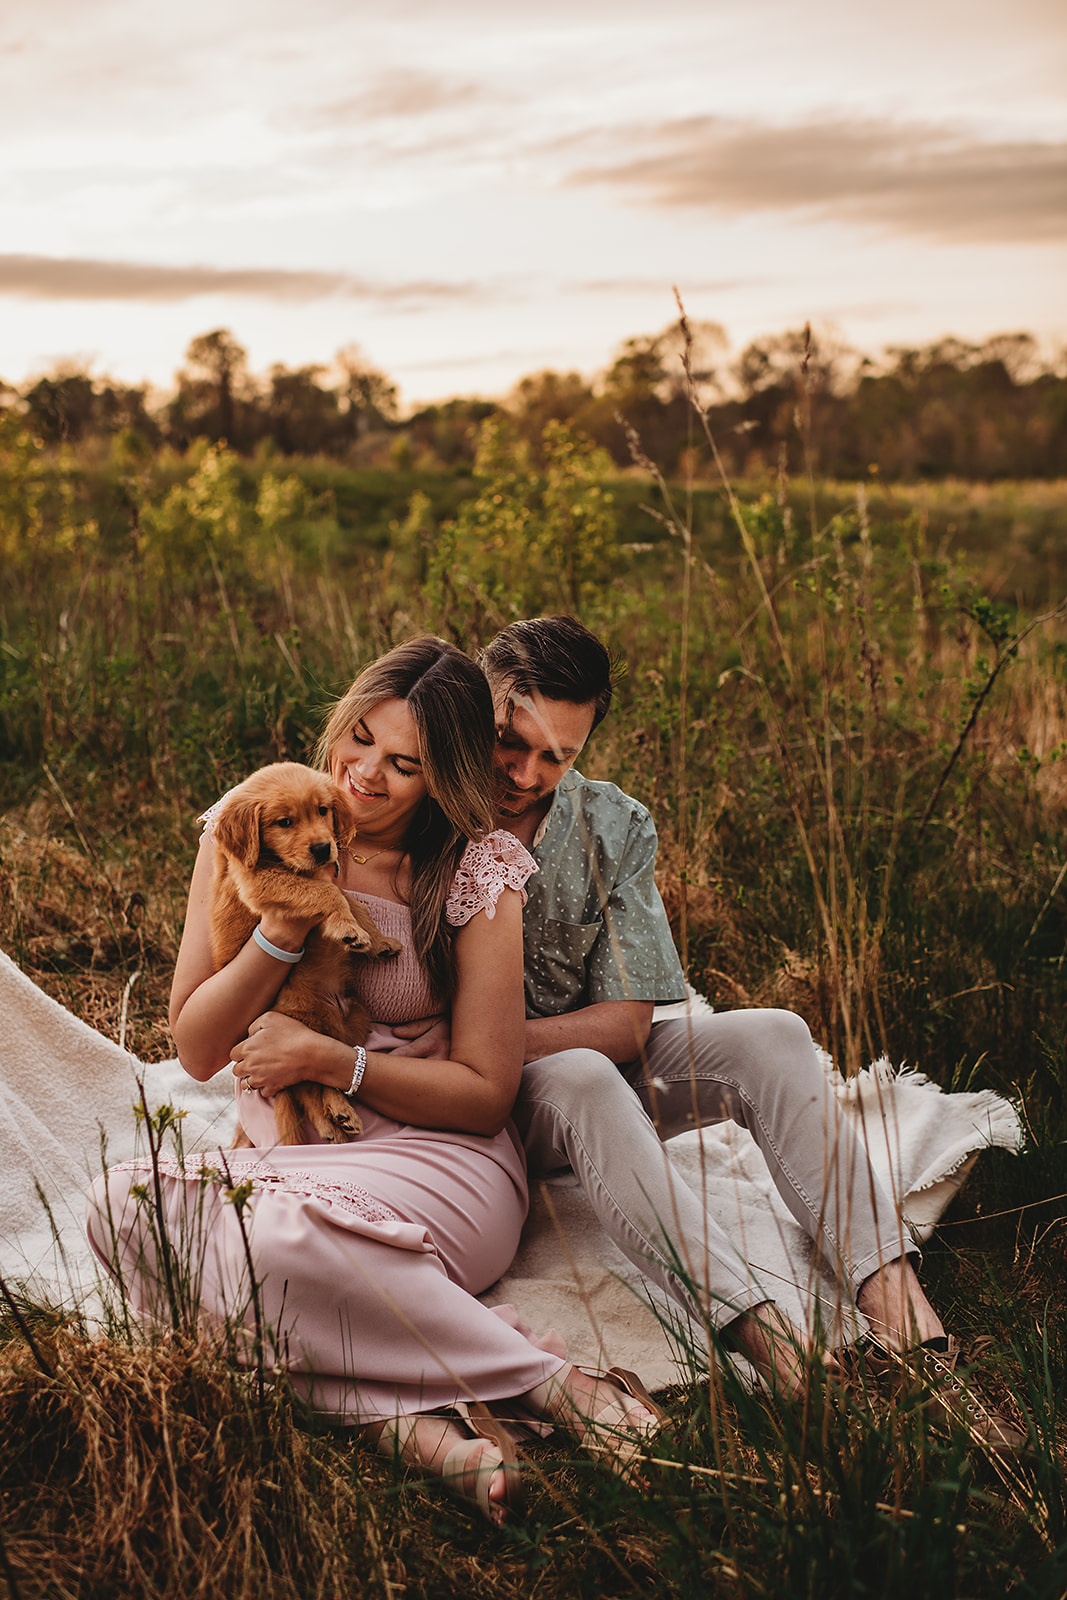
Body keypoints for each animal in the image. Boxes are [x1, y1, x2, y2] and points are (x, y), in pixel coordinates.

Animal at [207, 758, 399, 1145]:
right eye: (285, 822)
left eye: (323, 810)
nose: (324, 849)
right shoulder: (258, 882)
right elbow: (329, 893)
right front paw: (349, 931)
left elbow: (354, 901)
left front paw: (376, 939)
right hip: (300, 1019)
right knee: (304, 1083)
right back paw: (337, 1116)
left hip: (355, 1019)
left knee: (321, 1070)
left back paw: (336, 1119)